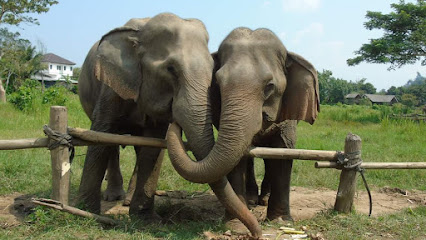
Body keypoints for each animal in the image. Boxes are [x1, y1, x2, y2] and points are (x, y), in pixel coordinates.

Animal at [166, 26, 320, 234]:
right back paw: (252, 200)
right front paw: (235, 224)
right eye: (217, 84)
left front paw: (281, 222)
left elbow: (284, 152)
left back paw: (262, 200)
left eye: (270, 86)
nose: (174, 121)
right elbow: (237, 159)